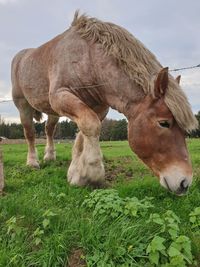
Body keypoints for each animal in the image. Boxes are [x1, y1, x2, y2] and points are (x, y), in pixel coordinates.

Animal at [11, 11, 198, 196]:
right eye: (164, 123)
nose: (184, 182)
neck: (88, 59)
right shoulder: (61, 96)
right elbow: (90, 126)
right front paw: (91, 175)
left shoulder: (98, 108)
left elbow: (84, 133)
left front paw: (75, 172)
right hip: (23, 106)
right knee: (30, 133)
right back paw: (32, 162)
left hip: (52, 112)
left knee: (49, 130)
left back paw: (49, 157)